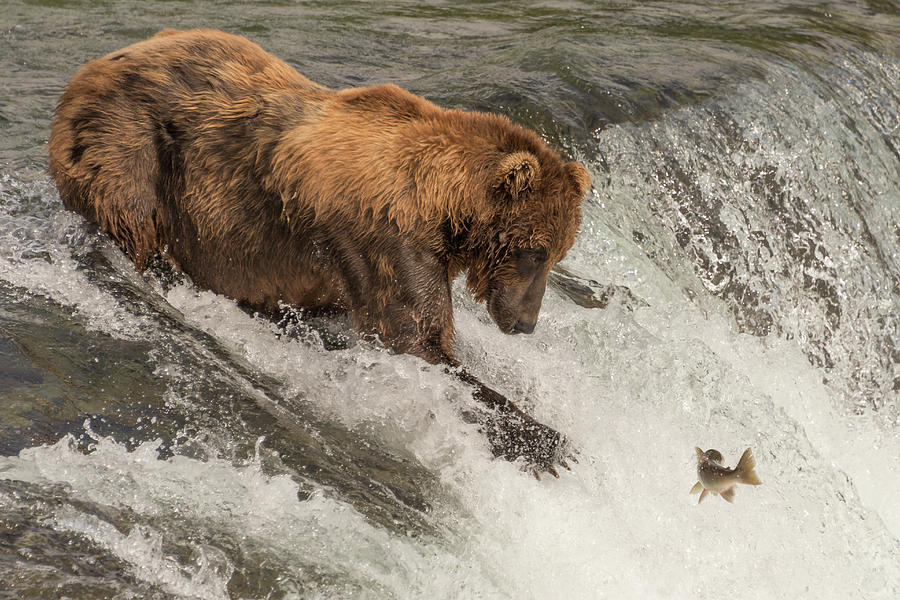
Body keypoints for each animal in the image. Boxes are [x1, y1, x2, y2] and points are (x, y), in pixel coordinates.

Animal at [52, 29, 596, 478]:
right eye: (535, 251)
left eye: (557, 253)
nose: (524, 323)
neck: (439, 205)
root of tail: (88, 70)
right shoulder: (384, 240)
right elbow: (417, 339)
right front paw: (548, 443)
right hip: (133, 154)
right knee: (135, 226)